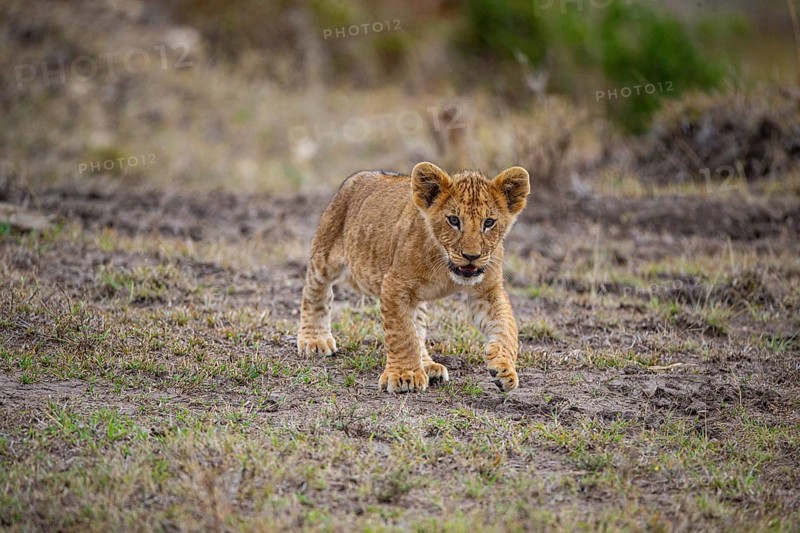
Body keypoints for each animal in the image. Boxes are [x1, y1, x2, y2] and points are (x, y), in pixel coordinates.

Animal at [297, 161, 531, 393]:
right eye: (454, 220)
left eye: (489, 222)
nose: (471, 256)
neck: (445, 267)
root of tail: (360, 175)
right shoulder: (394, 285)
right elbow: (402, 334)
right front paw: (404, 375)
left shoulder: (487, 291)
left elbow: (507, 326)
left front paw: (504, 368)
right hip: (326, 254)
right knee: (315, 291)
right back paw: (314, 340)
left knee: (417, 325)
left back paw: (428, 366)